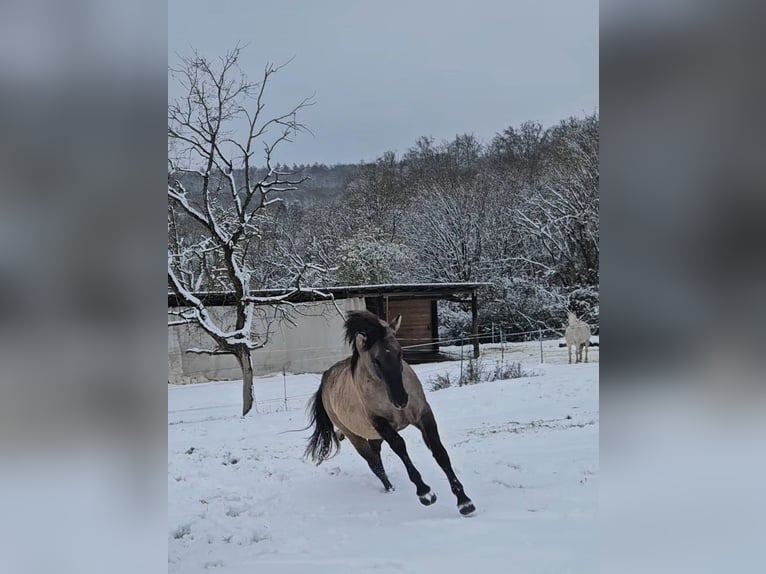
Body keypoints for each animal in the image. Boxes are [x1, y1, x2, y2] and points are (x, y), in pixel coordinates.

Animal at [304, 310, 476, 516]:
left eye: (400, 353)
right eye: (375, 360)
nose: (401, 400)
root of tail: (325, 380)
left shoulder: (423, 415)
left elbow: (439, 452)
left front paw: (464, 502)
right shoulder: (380, 423)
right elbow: (400, 447)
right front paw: (425, 493)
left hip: (373, 436)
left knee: (376, 456)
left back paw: (391, 489)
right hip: (354, 435)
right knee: (373, 463)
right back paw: (390, 489)